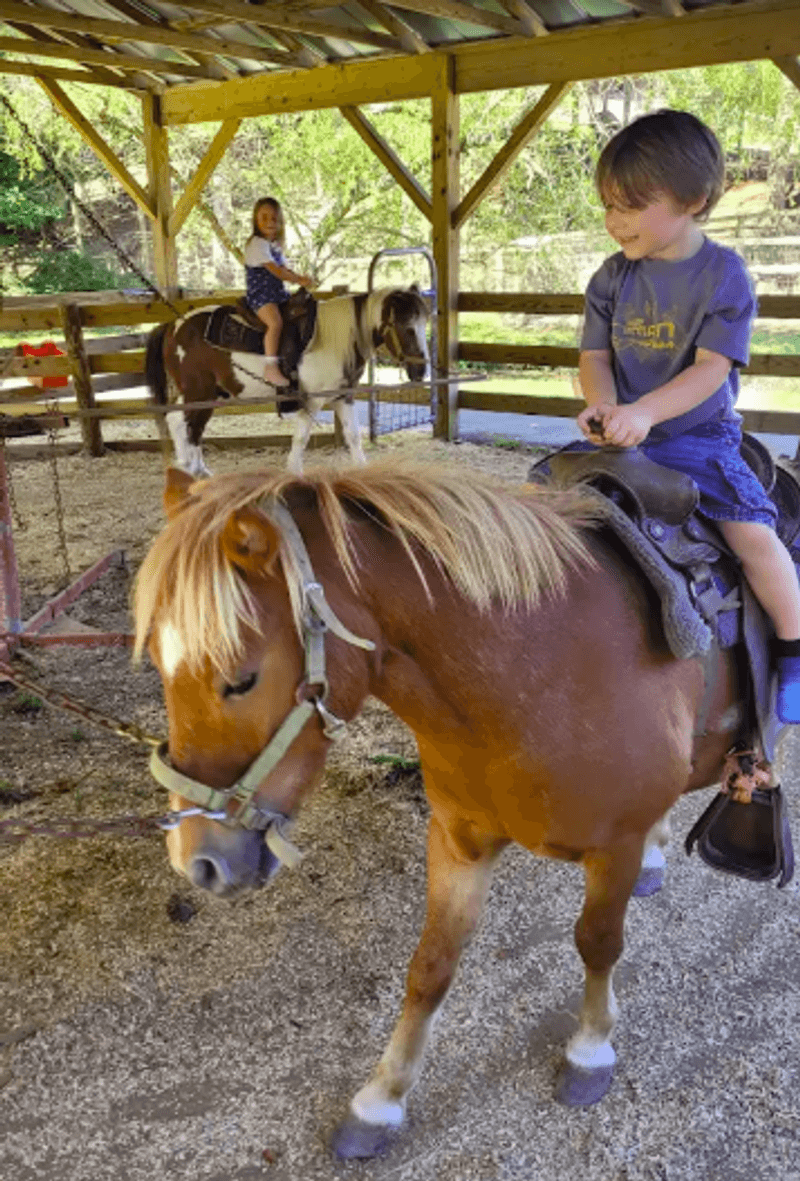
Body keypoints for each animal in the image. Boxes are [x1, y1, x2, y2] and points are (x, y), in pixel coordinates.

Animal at [133, 457, 754, 1159]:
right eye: (158, 664)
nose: (197, 859)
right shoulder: (459, 839)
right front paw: (381, 1100)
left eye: (241, 679)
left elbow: (598, 943)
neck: (536, 673)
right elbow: (430, 966)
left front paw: (590, 1049)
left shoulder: (612, 847)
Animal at [144, 286, 429, 477]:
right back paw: (187, 469)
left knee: (194, 428)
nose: (421, 370)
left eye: (424, 324)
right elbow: (301, 438)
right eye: (406, 327)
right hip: (197, 391)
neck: (337, 338)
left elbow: (353, 436)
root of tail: (173, 326)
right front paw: (294, 472)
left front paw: (362, 469)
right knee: (179, 422)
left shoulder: (342, 397)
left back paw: (200, 470)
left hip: (210, 394)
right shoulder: (311, 401)